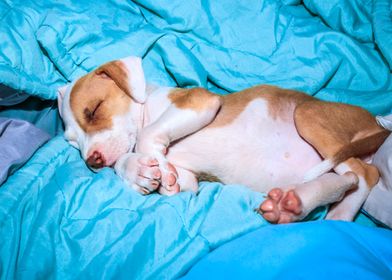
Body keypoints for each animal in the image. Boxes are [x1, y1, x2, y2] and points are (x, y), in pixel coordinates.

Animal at [57, 55, 388, 224]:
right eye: (72, 141)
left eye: (94, 110)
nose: (92, 159)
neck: (149, 106)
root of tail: (377, 125)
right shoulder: (189, 179)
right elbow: (163, 174)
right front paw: (140, 171)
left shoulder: (199, 102)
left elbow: (147, 137)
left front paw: (154, 166)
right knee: (345, 180)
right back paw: (300, 207)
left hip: (308, 118)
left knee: (363, 174)